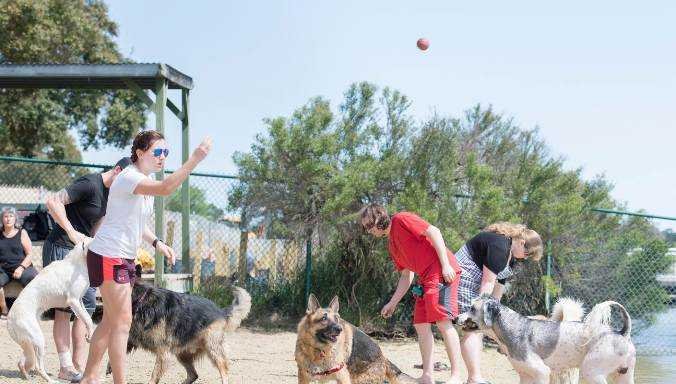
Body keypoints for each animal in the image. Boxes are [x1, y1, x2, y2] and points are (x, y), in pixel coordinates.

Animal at [6, 238, 94, 382]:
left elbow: (88, 319)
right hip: (38, 340)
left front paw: (89, 333)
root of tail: (9, 319)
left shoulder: (80, 301)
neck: (78, 261)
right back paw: (51, 380)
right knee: (38, 366)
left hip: (29, 343)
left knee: (22, 363)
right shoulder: (73, 301)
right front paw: (90, 334)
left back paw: (27, 376)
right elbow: (87, 319)